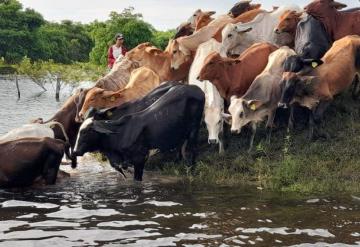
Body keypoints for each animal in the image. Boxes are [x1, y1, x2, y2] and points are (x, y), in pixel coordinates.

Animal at [72, 85, 205, 181]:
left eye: (86, 132)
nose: (75, 151)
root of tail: (197, 89)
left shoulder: (139, 159)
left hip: (195, 128)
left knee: (193, 149)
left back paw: (191, 169)